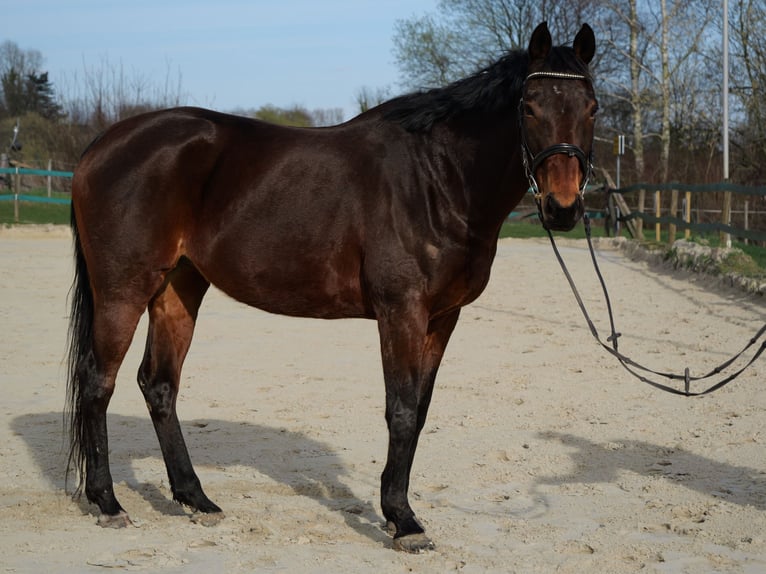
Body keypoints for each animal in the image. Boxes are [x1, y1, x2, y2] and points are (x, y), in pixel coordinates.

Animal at [66, 22, 597, 552]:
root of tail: (102, 144)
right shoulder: (401, 311)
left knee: (158, 384)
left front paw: (399, 510)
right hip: (122, 291)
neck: (437, 178)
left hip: (178, 287)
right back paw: (108, 503)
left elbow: (421, 410)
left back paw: (195, 499)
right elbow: (401, 409)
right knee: (97, 381)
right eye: (529, 107)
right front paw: (403, 520)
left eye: (592, 108)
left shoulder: (443, 317)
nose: (562, 207)